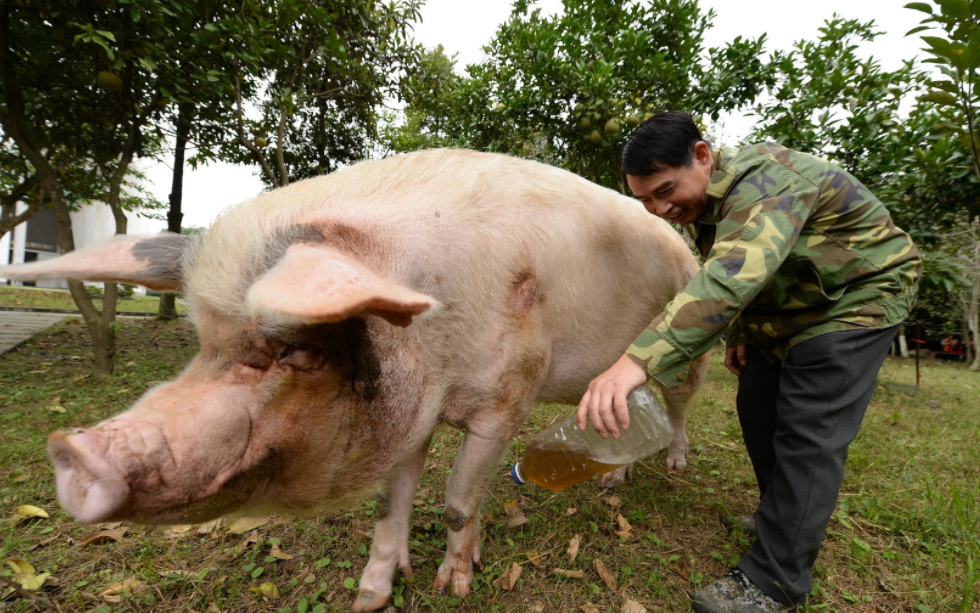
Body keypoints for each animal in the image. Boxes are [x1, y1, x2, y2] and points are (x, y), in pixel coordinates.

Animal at [0, 149, 708, 612]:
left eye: (297, 350)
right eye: (204, 344)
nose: (74, 450)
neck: (435, 337)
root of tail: (684, 246)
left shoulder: (509, 400)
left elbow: (457, 500)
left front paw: (455, 586)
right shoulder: (415, 412)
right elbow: (390, 503)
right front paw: (373, 597)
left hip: (687, 346)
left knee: (679, 407)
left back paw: (671, 466)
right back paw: (615, 477)